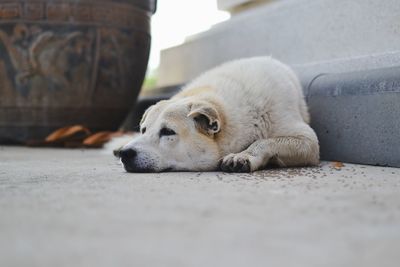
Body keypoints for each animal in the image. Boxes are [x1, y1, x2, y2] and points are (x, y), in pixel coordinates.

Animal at [115, 57, 318, 173]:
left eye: (167, 132)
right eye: (144, 130)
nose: (125, 153)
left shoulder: (307, 142)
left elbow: (264, 141)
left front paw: (243, 156)